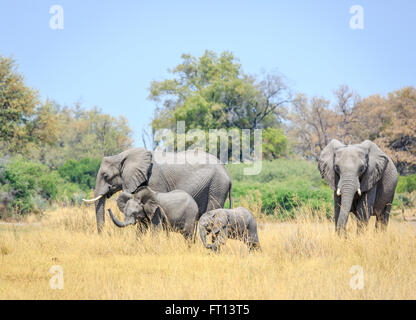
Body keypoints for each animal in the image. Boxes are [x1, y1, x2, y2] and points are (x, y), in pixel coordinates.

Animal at [81, 148, 231, 232]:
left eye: (106, 176)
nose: (105, 234)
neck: (123, 155)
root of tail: (227, 172)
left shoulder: (154, 179)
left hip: (217, 187)